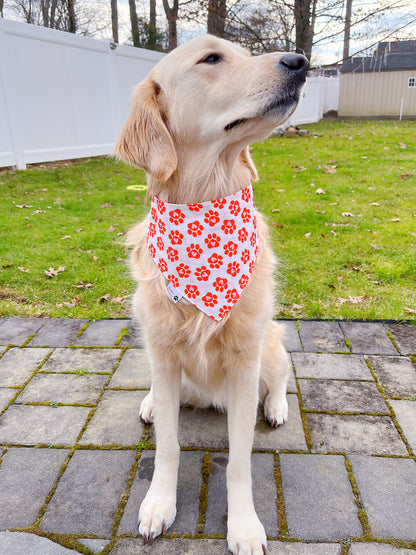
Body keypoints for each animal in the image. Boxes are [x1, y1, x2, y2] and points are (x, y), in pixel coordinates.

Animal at [115, 35, 308, 555]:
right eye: (212, 58)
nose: (300, 62)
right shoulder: (163, 354)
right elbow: (168, 445)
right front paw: (158, 504)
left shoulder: (244, 363)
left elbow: (239, 461)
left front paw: (243, 526)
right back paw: (148, 403)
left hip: (269, 347)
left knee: (281, 376)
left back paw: (277, 406)